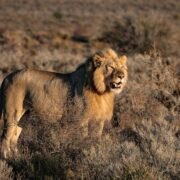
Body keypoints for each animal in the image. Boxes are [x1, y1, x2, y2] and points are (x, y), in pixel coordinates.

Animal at [0, 48, 128, 158]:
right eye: (111, 67)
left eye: (122, 67)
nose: (122, 76)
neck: (102, 91)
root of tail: (7, 77)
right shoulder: (82, 119)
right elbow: (83, 138)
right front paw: (83, 152)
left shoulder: (99, 120)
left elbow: (95, 139)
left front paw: (95, 153)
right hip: (12, 113)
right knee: (5, 137)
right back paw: (7, 159)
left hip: (24, 116)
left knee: (14, 136)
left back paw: (16, 158)